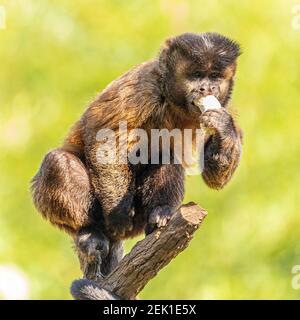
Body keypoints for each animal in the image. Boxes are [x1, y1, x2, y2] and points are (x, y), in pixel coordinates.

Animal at [31, 32, 241, 282]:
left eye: (214, 77)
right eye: (197, 75)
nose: (205, 88)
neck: (173, 102)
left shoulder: (224, 104)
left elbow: (215, 177)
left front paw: (223, 128)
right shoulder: (142, 87)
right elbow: (106, 143)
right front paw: (119, 213)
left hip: (138, 220)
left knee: (165, 155)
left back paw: (160, 213)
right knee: (58, 162)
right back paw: (89, 232)